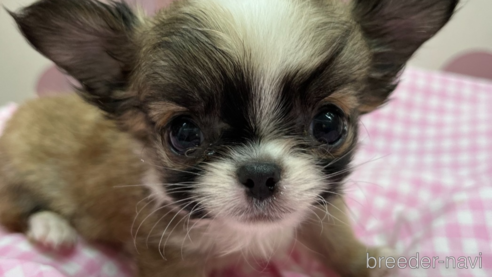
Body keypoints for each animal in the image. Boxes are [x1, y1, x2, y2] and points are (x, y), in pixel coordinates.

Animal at [0, 0, 458, 274]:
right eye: (184, 132)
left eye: (329, 123)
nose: (260, 173)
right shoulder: (165, 252)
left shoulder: (319, 206)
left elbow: (336, 239)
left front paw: (367, 261)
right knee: (17, 213)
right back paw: (51, 227)